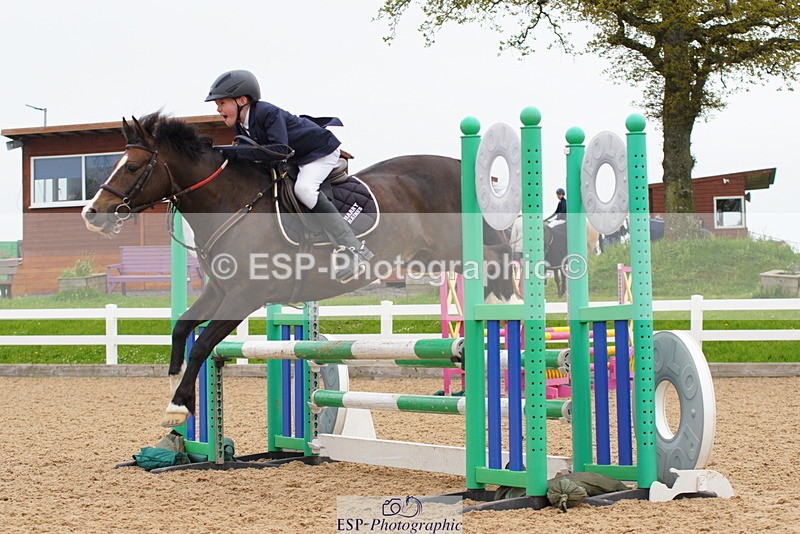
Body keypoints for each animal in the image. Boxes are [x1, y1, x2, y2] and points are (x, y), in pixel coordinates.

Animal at [81, 113, 516, 427]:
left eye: (133, 167)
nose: (92, 214)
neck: (230, 201)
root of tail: (457, 164)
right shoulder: (219, 292)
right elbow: (182, 327)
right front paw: (177, 388)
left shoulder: (245, 296)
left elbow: (203, 343)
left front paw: (178, 405)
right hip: (430, 257)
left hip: (457, 250)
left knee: (499, 260)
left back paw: (500, 305)